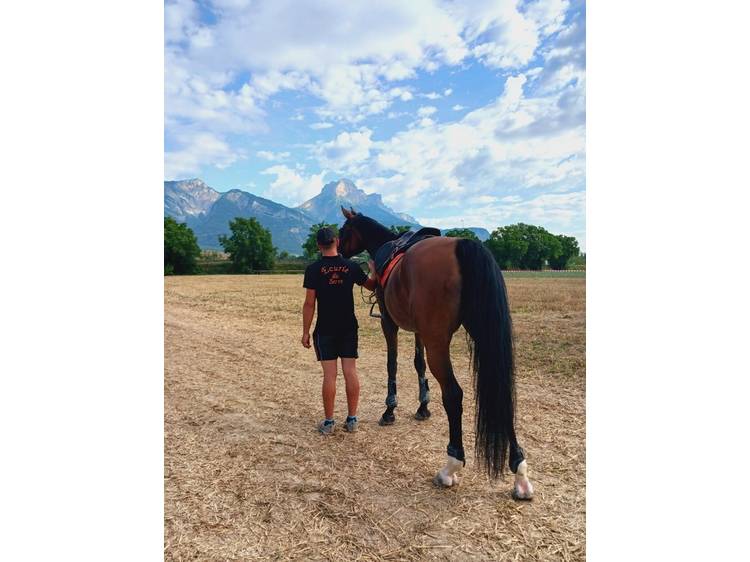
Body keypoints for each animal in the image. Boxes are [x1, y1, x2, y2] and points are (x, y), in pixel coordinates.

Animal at [338, 207, 533, 499]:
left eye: (343, 231)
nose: (336, 252)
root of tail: (464, 246)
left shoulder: (389, 322)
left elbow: (392, 363)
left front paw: (389, 410)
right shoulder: (420, 330)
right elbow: (418, 365)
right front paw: (423, 406)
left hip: (438, 342)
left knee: (453, 394)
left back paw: (451, 466)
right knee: (501, 391)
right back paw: (520, 473)